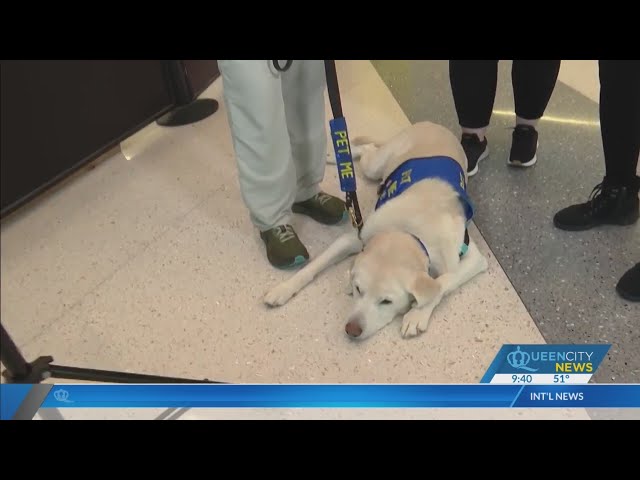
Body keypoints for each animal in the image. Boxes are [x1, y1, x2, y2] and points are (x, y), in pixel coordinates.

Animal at [262, 120, 488, 340]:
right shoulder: (354, 238)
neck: (410, 232)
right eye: (358, 289)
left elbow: (443, 282)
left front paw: (417, 314)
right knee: (368, 148)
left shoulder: (474, 258)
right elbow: (314, 265)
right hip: (375, 166)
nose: (352, 330)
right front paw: (284, 288)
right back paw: (337, 156)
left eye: (386, 301)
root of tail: (433, 124)